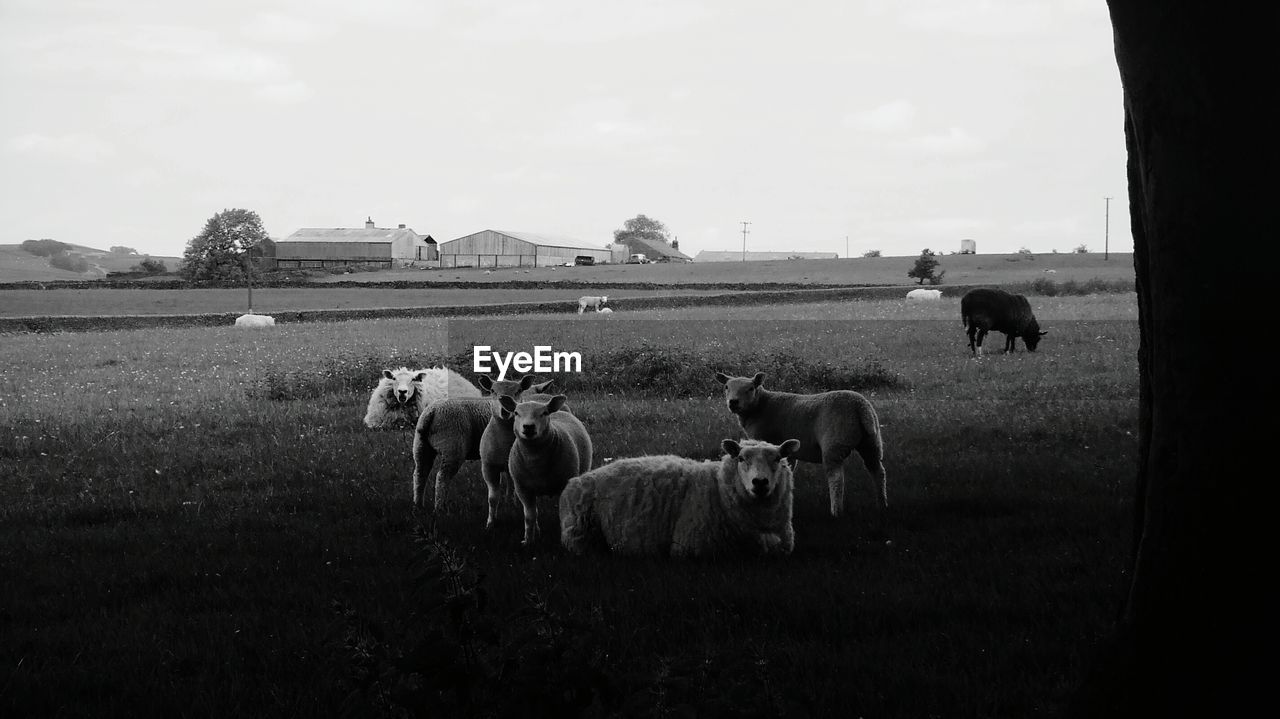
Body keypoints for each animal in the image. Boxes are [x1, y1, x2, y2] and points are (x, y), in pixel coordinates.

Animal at [501, 391, 596, 542]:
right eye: (516, 413)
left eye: (544, 413)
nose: (528, 427)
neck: (535, 461)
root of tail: (559, 411)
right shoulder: (523, 489)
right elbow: (530, 517)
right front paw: (528, 540)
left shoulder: (564, 486)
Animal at [563, 434, 798, 557]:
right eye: (741, 458)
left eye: (778, 458)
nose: (760, 482)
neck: (718, 489)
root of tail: (580, 478)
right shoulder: (689, 549)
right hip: (582, 535)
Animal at [716, 368, 885, 514]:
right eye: (726, 387)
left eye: (750, 388)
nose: (733, 402)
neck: (761, 405)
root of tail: (860, 406)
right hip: (871, 441)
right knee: (877, 471)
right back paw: (881, 504)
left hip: (834, 444)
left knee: (836, 479)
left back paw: (836, 511)